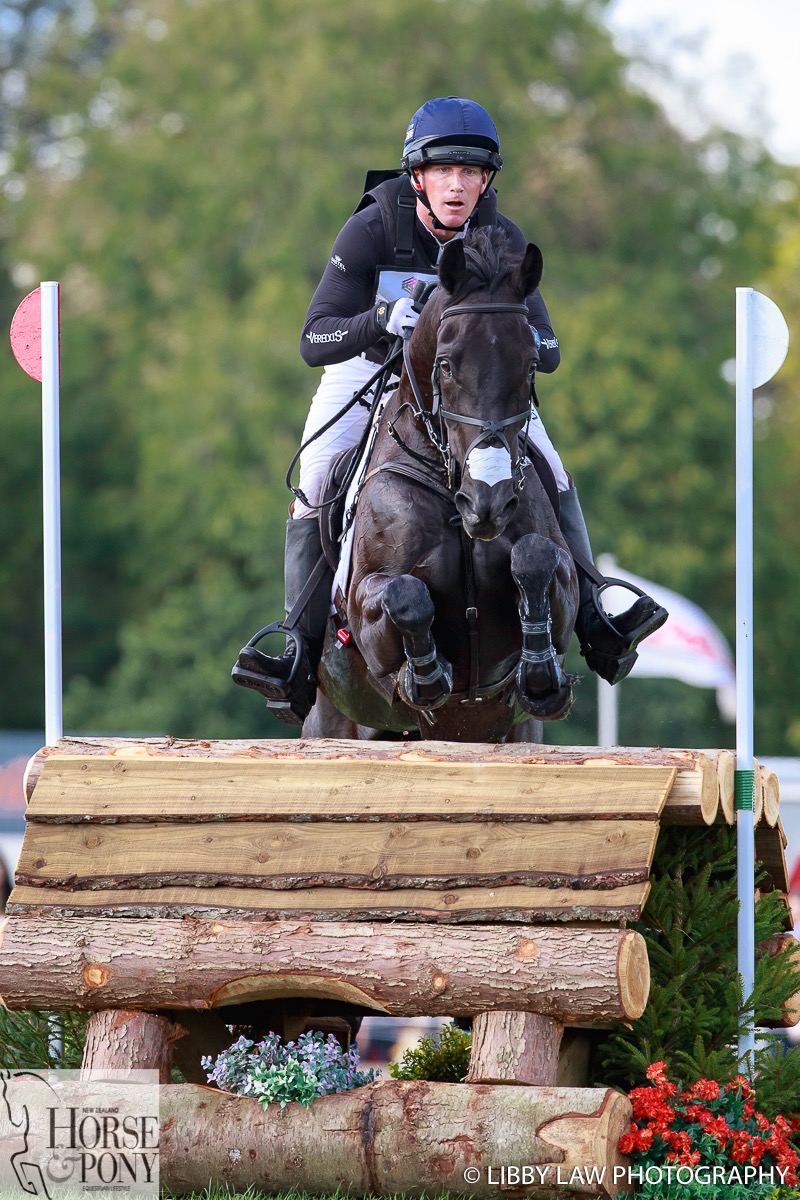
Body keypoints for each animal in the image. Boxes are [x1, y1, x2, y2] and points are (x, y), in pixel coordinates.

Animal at [303, 225, 578, 739]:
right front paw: (428, 677)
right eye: (447, 365)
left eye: (532, 363)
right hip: (330, 719)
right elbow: (405, 593)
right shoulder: (364, 605)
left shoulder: (564, 579)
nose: (487, 503)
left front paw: (539, 669)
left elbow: (536, 556)